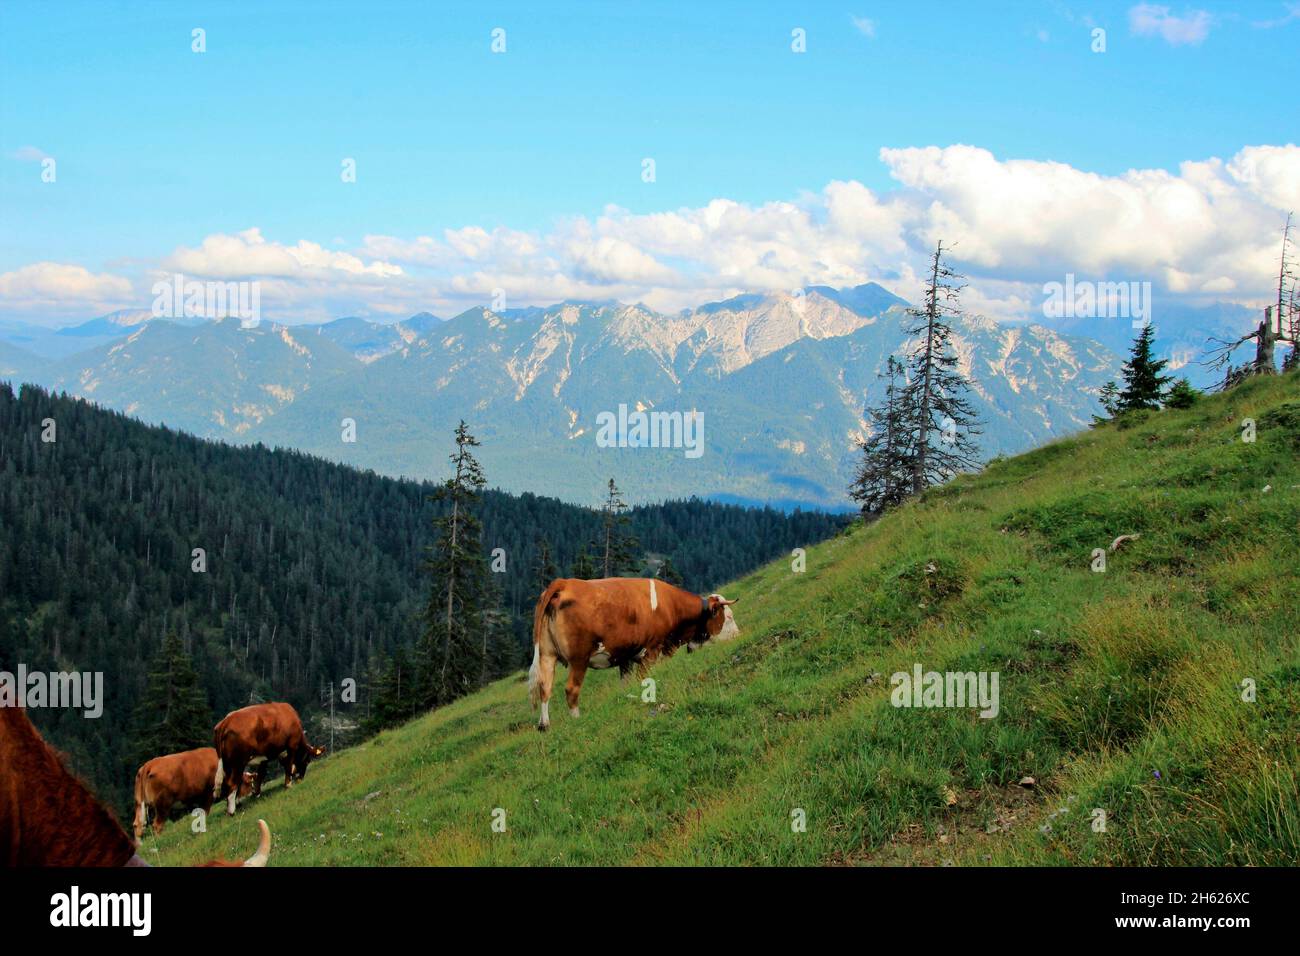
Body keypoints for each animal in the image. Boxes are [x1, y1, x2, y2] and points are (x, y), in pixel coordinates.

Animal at [0, 702, 269, 868]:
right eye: (248, 782)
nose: (251, 793)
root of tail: (147, 766)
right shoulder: (203, 794)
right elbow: (204, 810)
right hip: (162, 803)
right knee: (157, 825)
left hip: (141, 802)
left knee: (138, 825)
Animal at [525, 580, 733, 728]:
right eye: (728, 617)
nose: (737, 635)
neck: (671, 607)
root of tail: (564, 582)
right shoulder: (652, 649)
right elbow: (644, 678)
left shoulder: (626, 656)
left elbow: (625, 683)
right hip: (579, 659)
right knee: (571, 689)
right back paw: (577, 719)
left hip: (547, 655)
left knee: (545, 688)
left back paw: (544, 725)